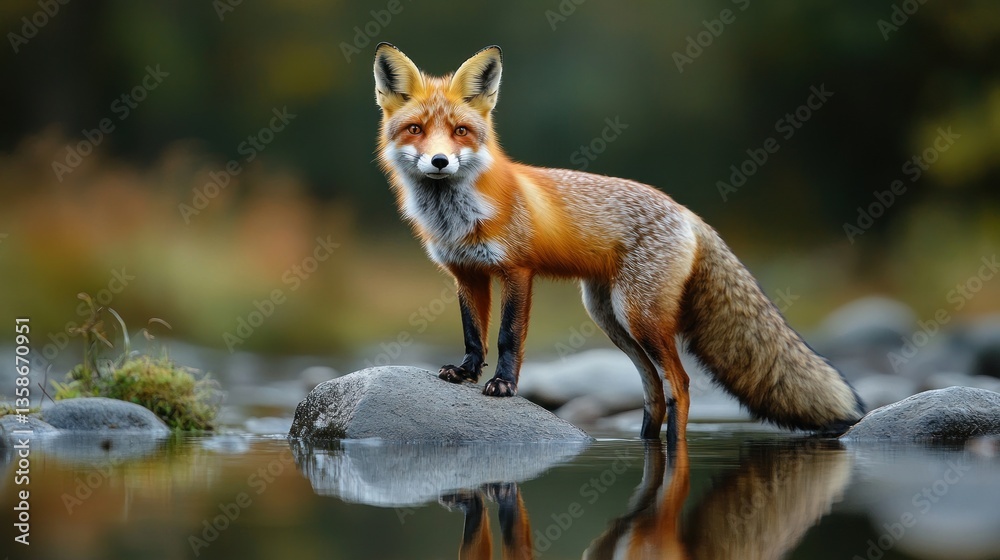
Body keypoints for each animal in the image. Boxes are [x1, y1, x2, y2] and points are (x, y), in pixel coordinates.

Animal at [372, 42, 865, 444]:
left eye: (460, 131)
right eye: (416, 129)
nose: (440, 161)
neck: (457, 216)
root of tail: (687, 213)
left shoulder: (516, 270)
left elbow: (508, 336)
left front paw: (504, 386)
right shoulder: (466, 272)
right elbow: (474, 333)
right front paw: (467, 373)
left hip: (639, 316)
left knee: (680, 385)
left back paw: (674, 450)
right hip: (611, 320)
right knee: (653, 390)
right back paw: (643, 442)